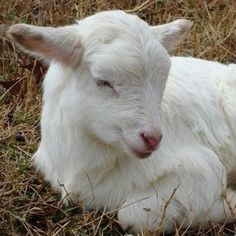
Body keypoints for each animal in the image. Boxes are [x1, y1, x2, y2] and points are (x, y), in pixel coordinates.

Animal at [7, 9, 236, 234]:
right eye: (102, 81)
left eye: (163, 80)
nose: (152, 138)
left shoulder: (201, 169)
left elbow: (131, 216)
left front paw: (229, 201)